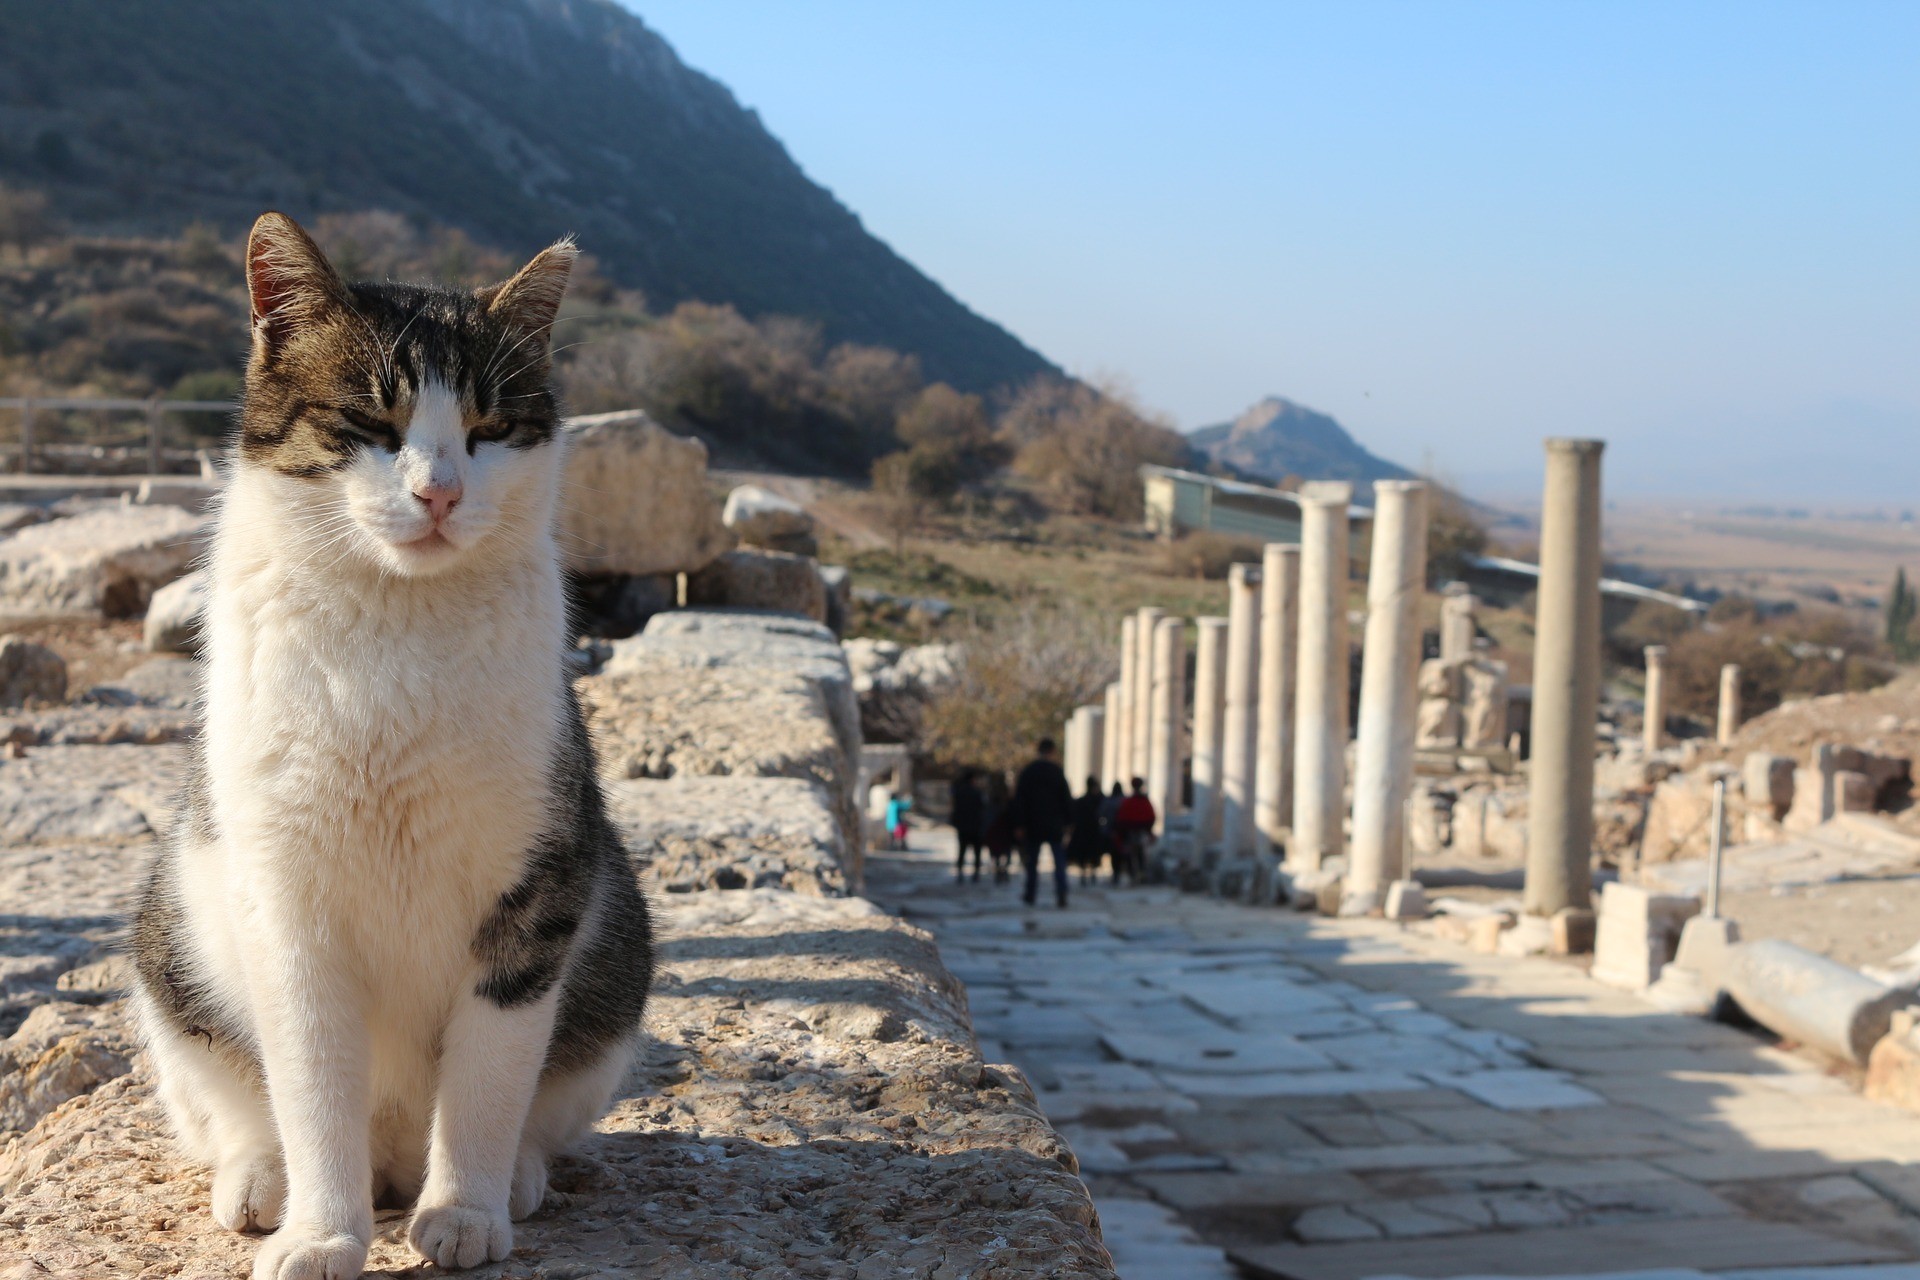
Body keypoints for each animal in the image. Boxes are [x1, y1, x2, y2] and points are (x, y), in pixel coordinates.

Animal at [129, 213, 652, 1280]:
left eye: (489, 429)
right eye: (373, 422)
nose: (440, 493)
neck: (395, 628)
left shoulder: (538, 888)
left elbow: (490, 1077)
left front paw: (465, 1213)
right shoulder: (284, 897)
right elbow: (311, 1087)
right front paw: (323, 1234)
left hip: (617, 946)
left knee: (542, 1104)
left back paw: (510, 1179)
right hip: (174, 940)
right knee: (237, 1103)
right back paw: (265, 1182)